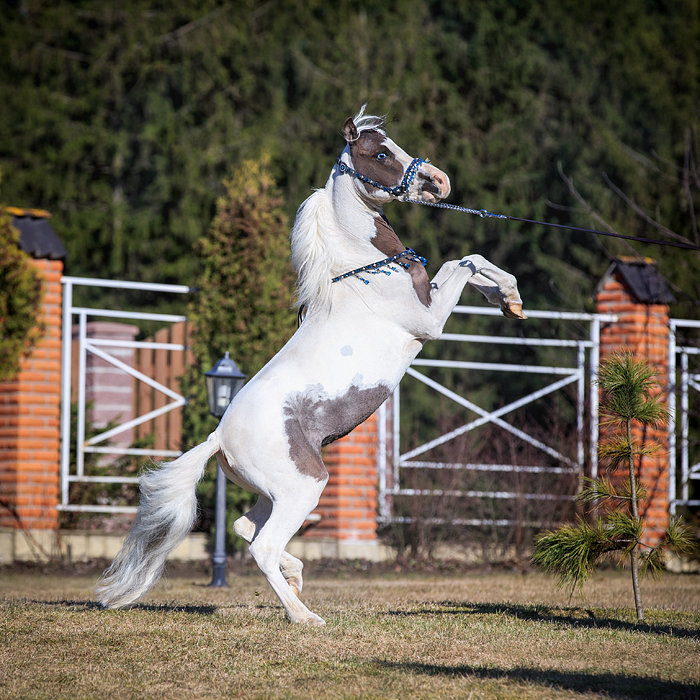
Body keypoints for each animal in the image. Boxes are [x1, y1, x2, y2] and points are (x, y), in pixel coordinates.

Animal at [97, 106, 524, 628]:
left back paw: (297, 579)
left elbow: (471, 263)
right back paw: (303, 615)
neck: (365, 270)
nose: (438, 182)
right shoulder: (429, 321)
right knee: (261, 546)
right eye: (381, 153)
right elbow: (466, 261)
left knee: (246, 527)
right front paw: (510, 297)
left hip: (275, 494)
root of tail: (218, 437)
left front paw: (510, 300)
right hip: (304, 487)